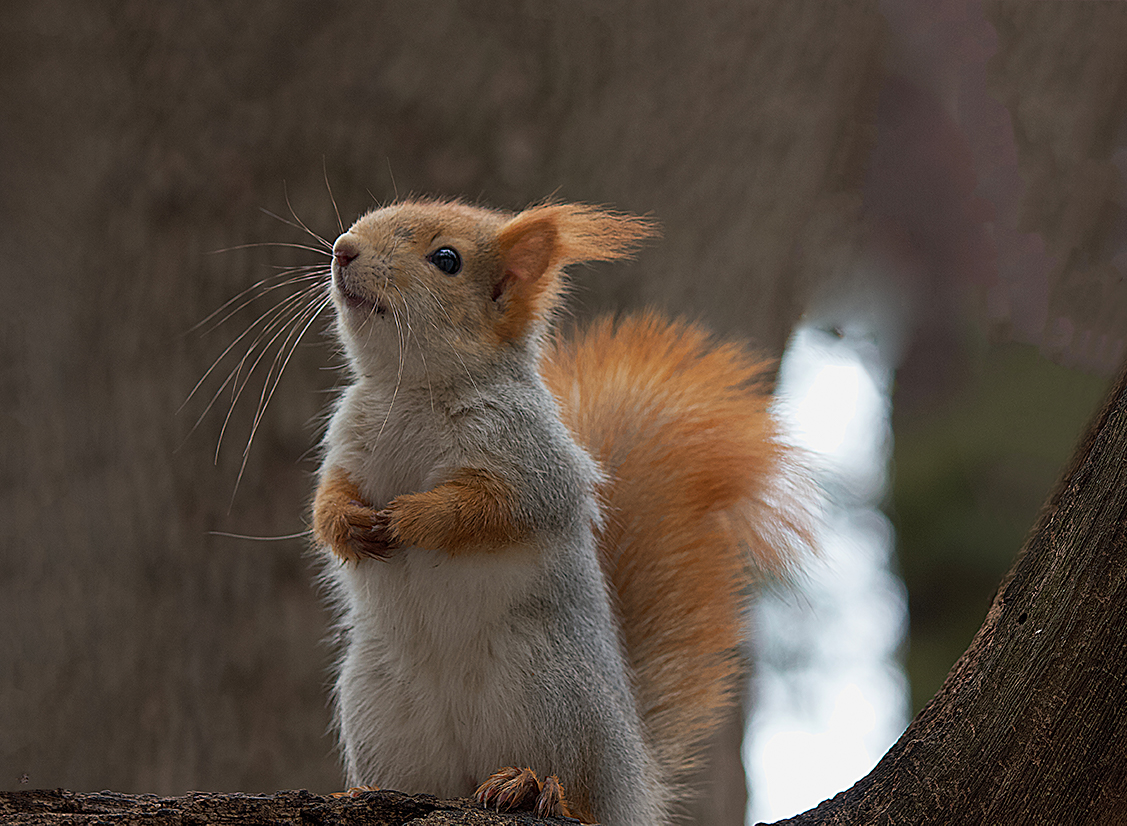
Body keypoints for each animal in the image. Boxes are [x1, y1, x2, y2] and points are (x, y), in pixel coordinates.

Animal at [306, 198, 802, 824]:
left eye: (447, 260)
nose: (343, 249)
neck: (411, 388)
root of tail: (635, 783)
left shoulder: (534, 462)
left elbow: (490, 508)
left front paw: (415, 517)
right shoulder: (346, 444)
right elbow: (327, 499)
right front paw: (348, 525)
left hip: (551, 693)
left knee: (578, 795)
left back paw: (534, 786)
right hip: (379, 709)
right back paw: (363, 793)